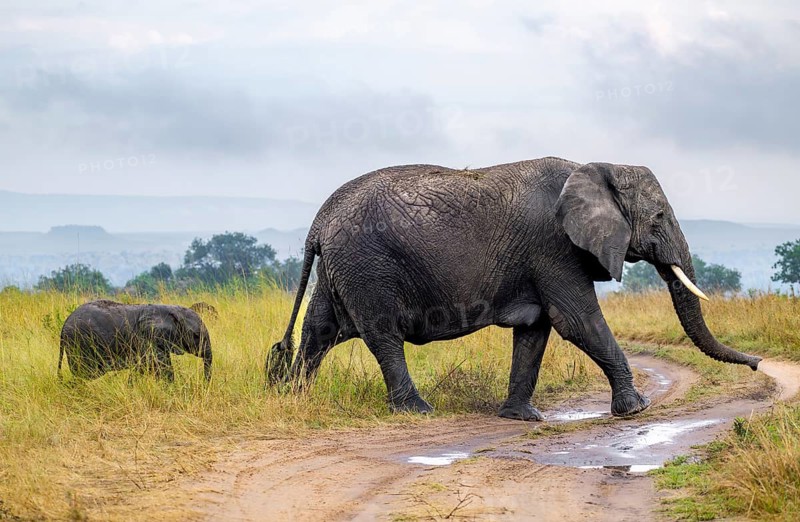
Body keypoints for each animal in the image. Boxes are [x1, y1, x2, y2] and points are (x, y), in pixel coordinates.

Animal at [59, 300, 213, 382]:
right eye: (196, 335)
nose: (204, 385)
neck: (170, 308)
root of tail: (64, 324)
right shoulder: (146, 338)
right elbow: (161, 367)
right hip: (79, 343)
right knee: (84, 374)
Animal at [266, 157, 761, 420]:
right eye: (657, 218)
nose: (758, 364)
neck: (597, 166)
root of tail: (319, 221)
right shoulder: (555, 248)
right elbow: (578, 322)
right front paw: (637, 410)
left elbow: (537, 332)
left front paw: (521, 418)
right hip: (369, 267)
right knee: (383, 336)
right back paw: (417, 411)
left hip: (343, 268)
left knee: (319, 331)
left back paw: (294, 398)